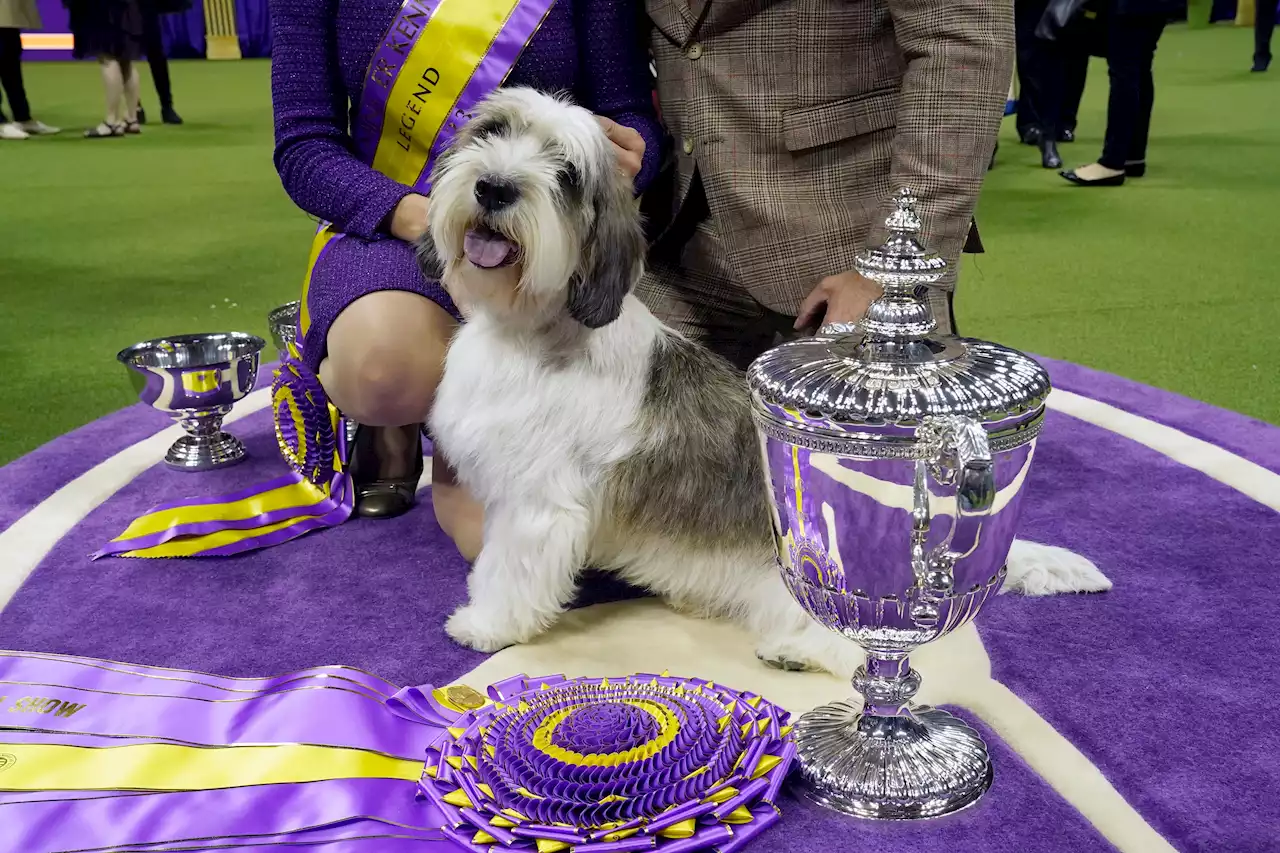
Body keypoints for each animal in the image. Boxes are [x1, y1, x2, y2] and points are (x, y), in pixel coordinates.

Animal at [422, 87, 1111, 676]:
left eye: (565, 173)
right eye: (493, 131)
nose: (493, 187)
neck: (531, 332)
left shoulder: (539, 506)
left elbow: (508, 572)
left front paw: (484, 626)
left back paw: (798, 650)